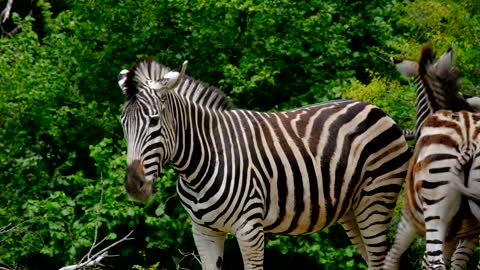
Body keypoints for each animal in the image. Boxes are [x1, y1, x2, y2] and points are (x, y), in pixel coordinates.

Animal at [118, 58, 410, 268]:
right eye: (123, 123)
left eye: (154, 121)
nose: (134, 185)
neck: (204, 159)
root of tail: (374, 108)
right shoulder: (203, 231)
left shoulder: (249, 230)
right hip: (352, 209)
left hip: (376, 200)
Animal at [384, 45, 480, 268]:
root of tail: (468, 141)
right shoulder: (463, 235)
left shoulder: (409, 219)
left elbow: (392, 259)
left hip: (435, 214)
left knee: (435, 263)